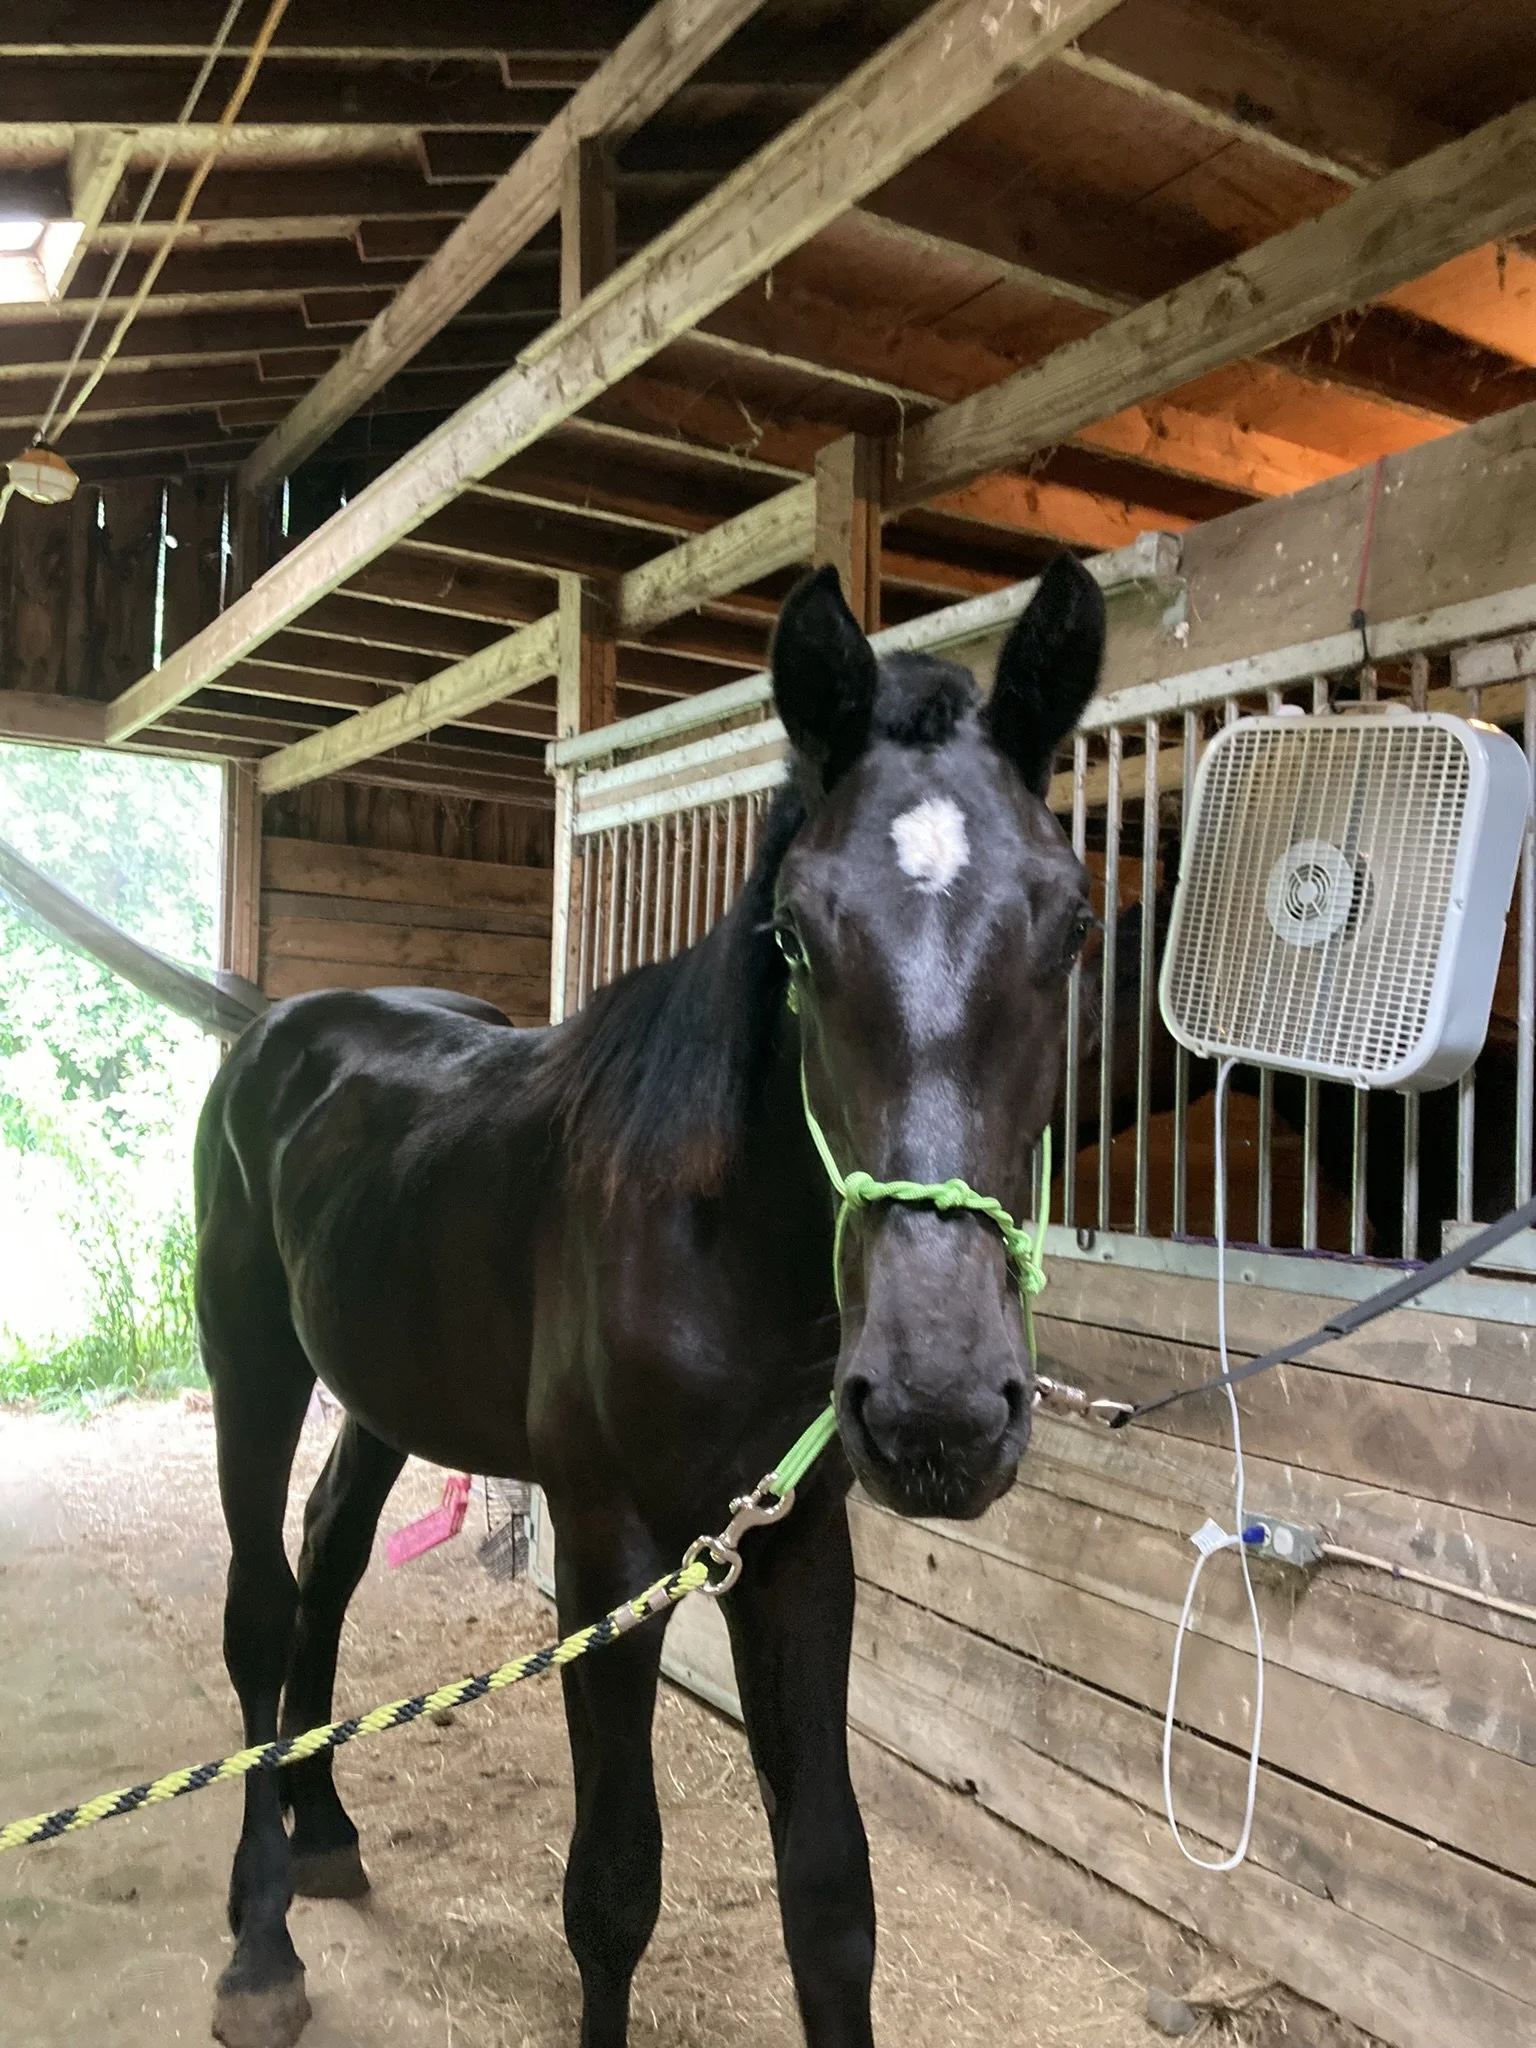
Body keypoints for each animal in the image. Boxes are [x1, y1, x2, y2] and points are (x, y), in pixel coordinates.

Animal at [194, 552, 1107, 2048]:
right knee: (262, 1605)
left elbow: (832, 1895)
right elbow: (614, 1888)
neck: (718, 1257)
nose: (938, 1412)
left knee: (327, 1554)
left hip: (383, 1385)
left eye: (1074, 923)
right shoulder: (608, 1555)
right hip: (254, 1362)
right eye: (795, 932)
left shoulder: (793, 1550)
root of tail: (279, 1029)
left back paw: (322, 1830)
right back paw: (260, 1943)